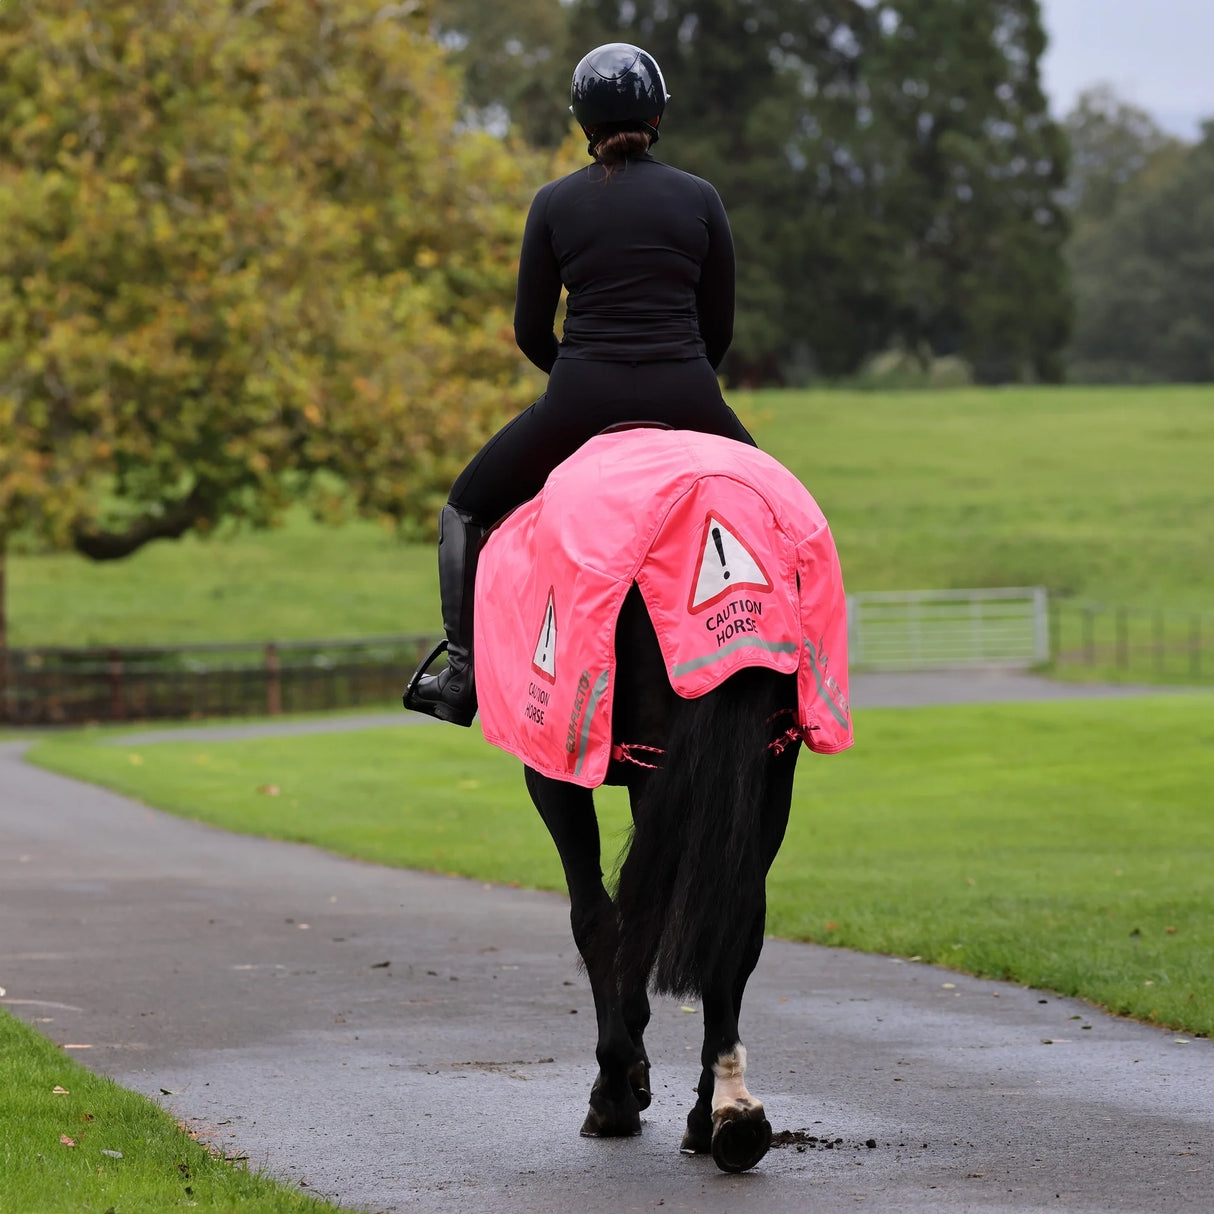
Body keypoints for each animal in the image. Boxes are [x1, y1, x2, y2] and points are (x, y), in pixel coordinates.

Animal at [524, 582, 801, 1170]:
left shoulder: (554, 768)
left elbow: (600, 919)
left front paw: (617, 1085)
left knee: (609, 918)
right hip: (767, 772)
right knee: (734, 927)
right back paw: (726, 1110)